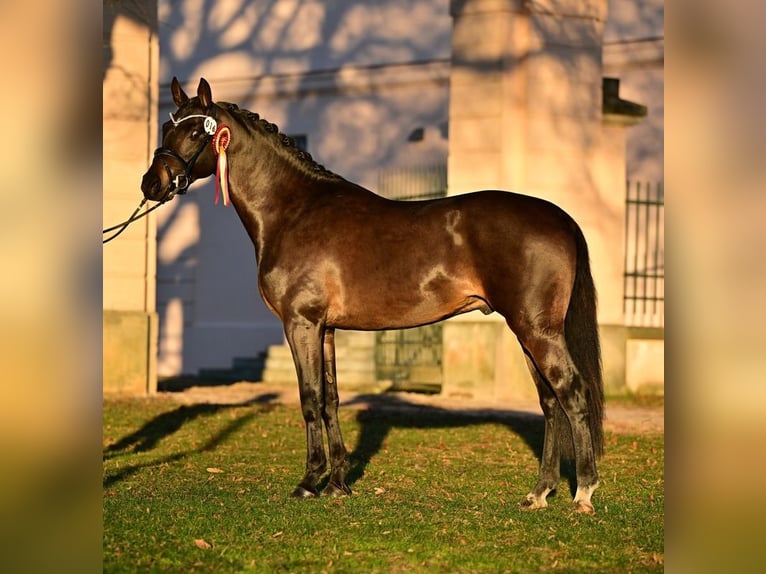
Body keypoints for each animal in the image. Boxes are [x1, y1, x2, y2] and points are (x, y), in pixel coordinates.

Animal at [138, 79, 608, 516]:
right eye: (164, 127)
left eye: (196, 132)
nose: (151, 184)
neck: (294, 211)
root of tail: (560, 217)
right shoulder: (325, 329)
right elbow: (330, 399)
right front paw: (337, 483)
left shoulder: (301, 323)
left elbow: (309, 398)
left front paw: (309, 482)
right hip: (529, 332)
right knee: (549, 402)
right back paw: (539, 492)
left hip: (537, 330)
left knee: (572, 392)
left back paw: (583, 491)